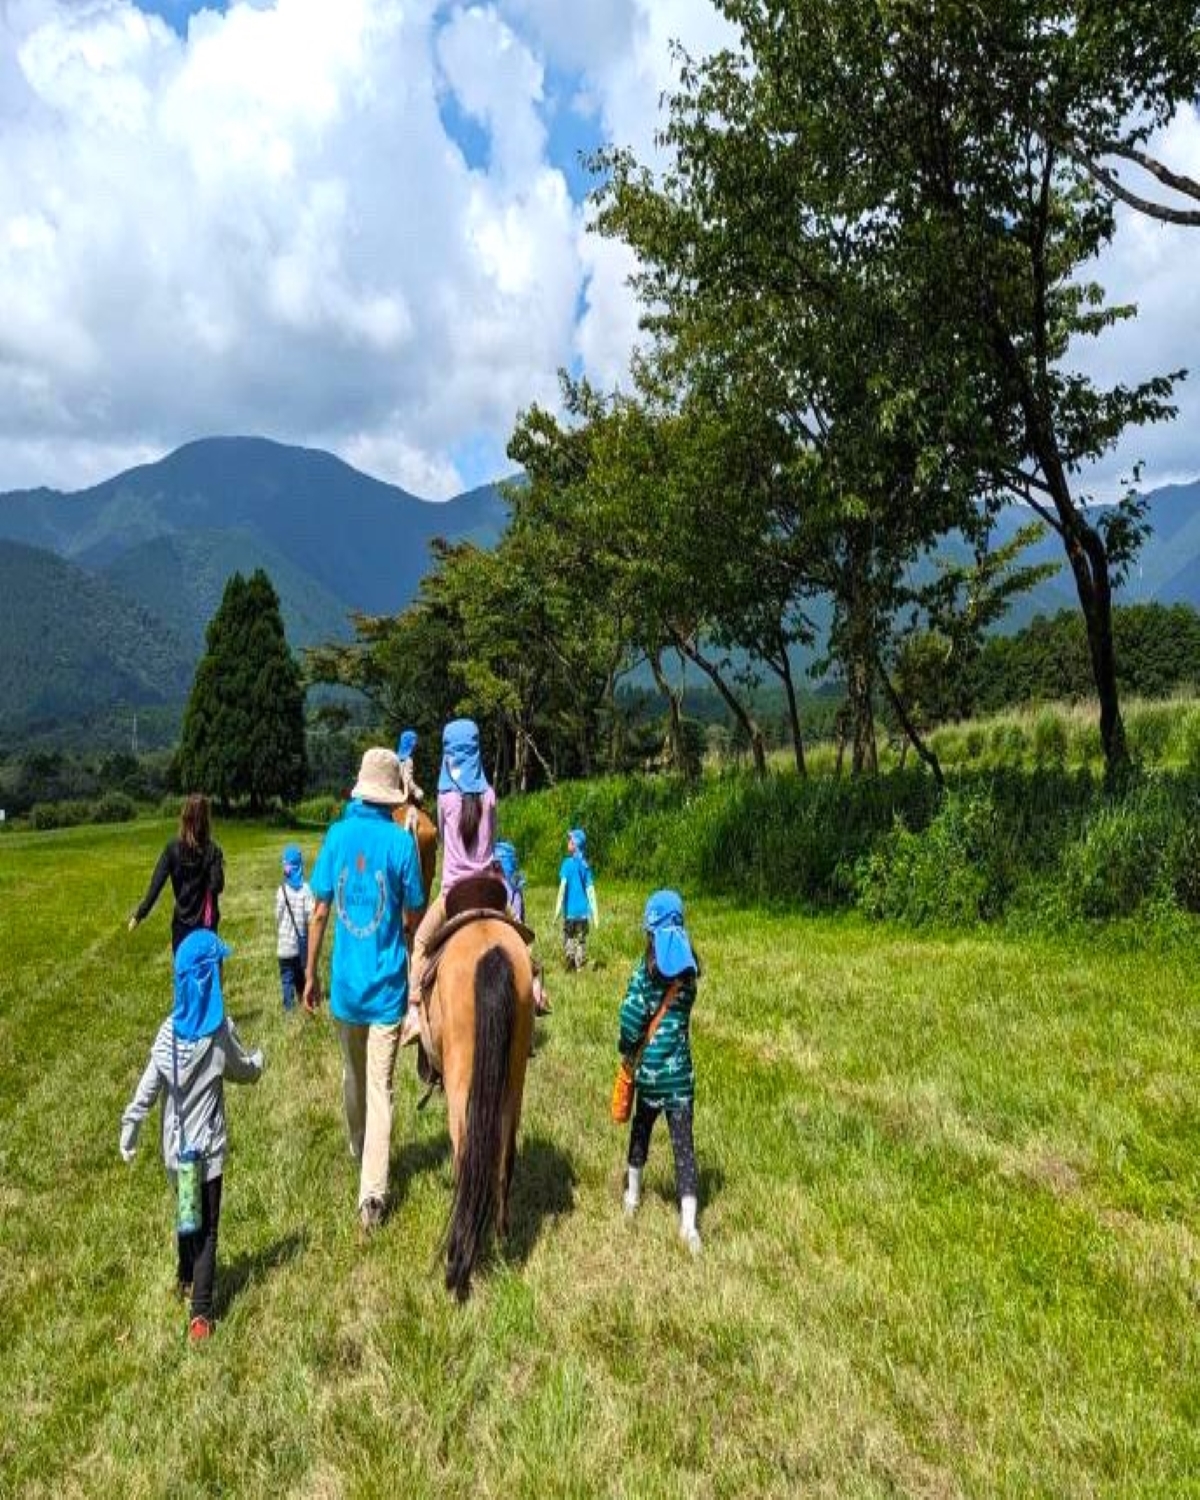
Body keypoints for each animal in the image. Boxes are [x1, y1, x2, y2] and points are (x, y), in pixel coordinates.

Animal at [423, 912, 531, 1302]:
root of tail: (490, 951)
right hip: (514, 1081)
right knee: (503, 1159)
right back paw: (501, 1238)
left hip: (461, 1089)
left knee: (466, 1158)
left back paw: (460, 1259)